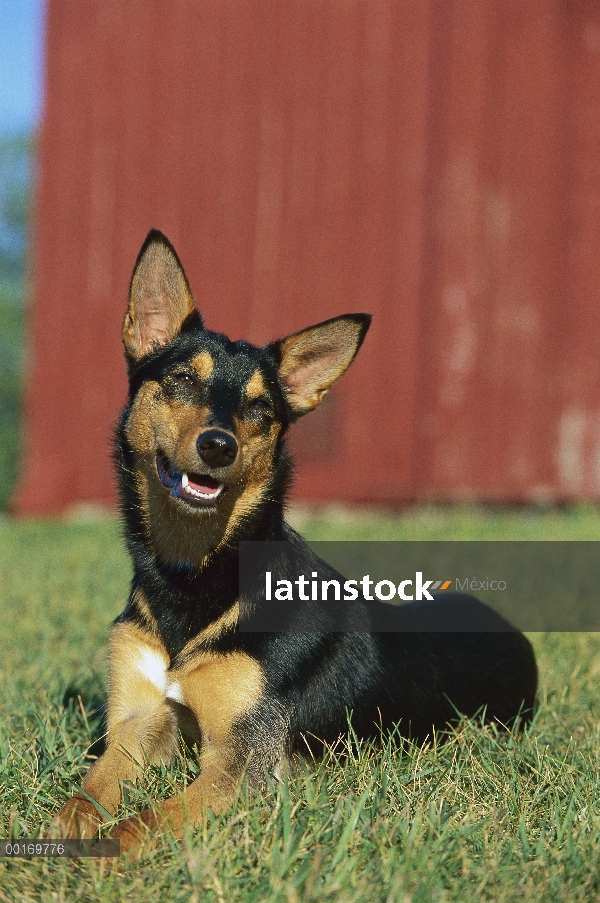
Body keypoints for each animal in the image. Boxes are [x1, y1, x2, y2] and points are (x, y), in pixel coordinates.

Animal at [51, 230, 536, 852]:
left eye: (261, 406)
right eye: (183, 379)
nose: (218, 446)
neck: (192, 574)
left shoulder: (242, 761)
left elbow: (145, 823)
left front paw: (94, 857)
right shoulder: (137, 724)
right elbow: (84, 797)